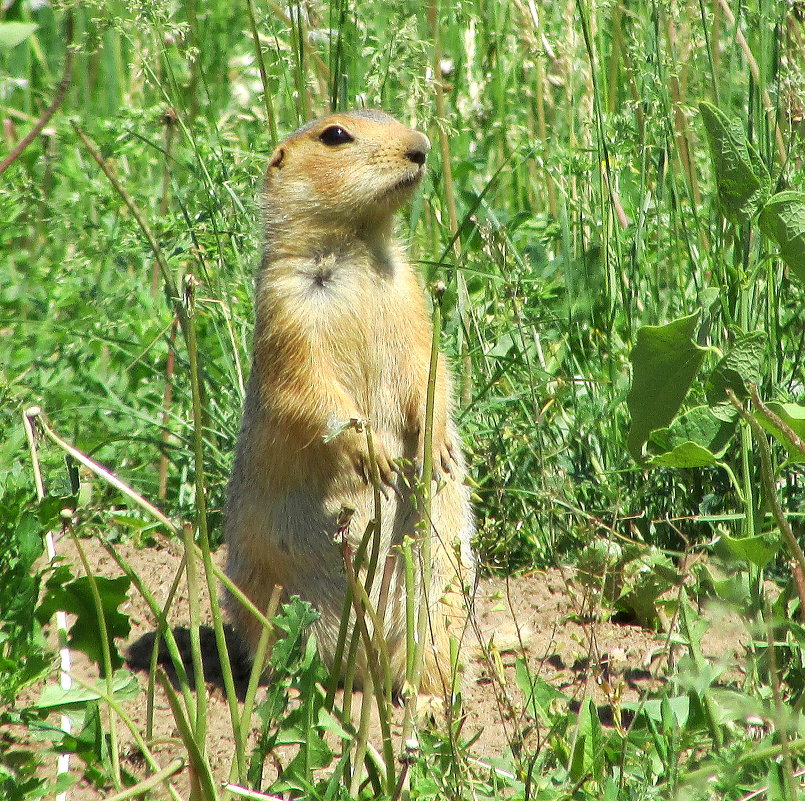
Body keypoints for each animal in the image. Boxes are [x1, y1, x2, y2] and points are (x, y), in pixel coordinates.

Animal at [223, 108, 474, 692]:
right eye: (335, 135)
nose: (421, 147)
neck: (357, 248)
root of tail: (366, 666)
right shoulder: (287, 309)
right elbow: (308, 389)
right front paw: (373, 455)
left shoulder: (412, 299)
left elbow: (431, 368)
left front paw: (436, 448)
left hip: (439, 602)